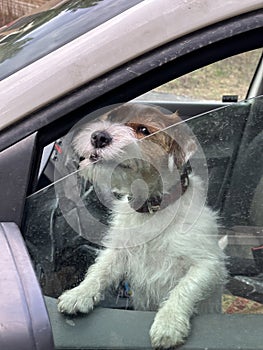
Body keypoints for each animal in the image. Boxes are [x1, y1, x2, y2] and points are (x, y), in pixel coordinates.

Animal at [57, 102, 227, 348]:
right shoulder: (118, 251)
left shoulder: (207, 265)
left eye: (144, 130)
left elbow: (184, 288)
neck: (152, 209)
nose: (98, 136)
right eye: (109, 119)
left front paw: (168, 323)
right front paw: (79, 294)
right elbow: (99, 270)